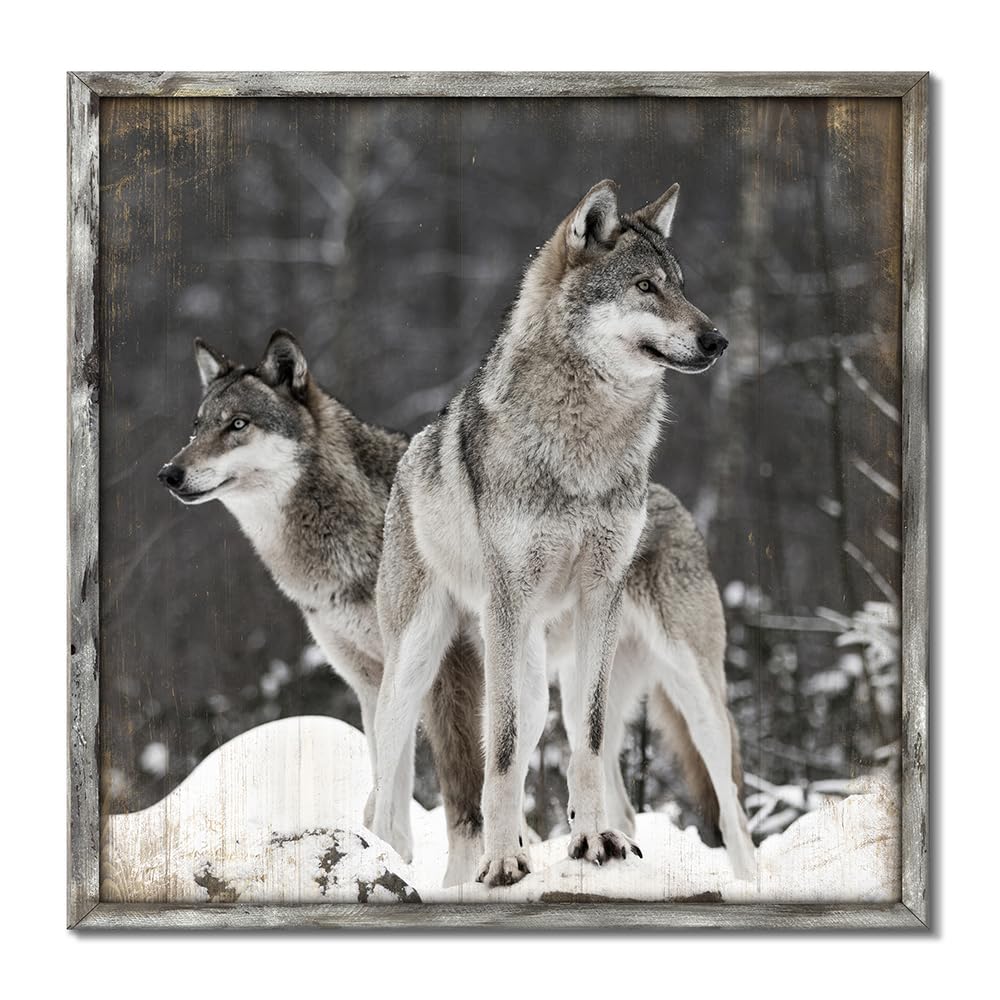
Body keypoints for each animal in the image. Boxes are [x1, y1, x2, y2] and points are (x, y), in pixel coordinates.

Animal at [158, 332, 489, 885]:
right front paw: (387, 856)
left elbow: (462, 794)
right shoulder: (373, 683)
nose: (169, 473)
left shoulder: (448, 670)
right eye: (197, 426)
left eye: (238, 424)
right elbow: (389, 783)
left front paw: (459, 883)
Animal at [370, 179, 755, 886]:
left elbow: (592, 742)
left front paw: (594, 842)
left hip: (688, 690)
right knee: (392, 784)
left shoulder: (599, 598)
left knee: (730, 808)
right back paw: (399, 862)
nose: (717, 339)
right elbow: (500, 757)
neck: (586, 444)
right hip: (432, 667)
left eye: (682, 286)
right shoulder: (506, 607)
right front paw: (501, 861)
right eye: (645, 287)